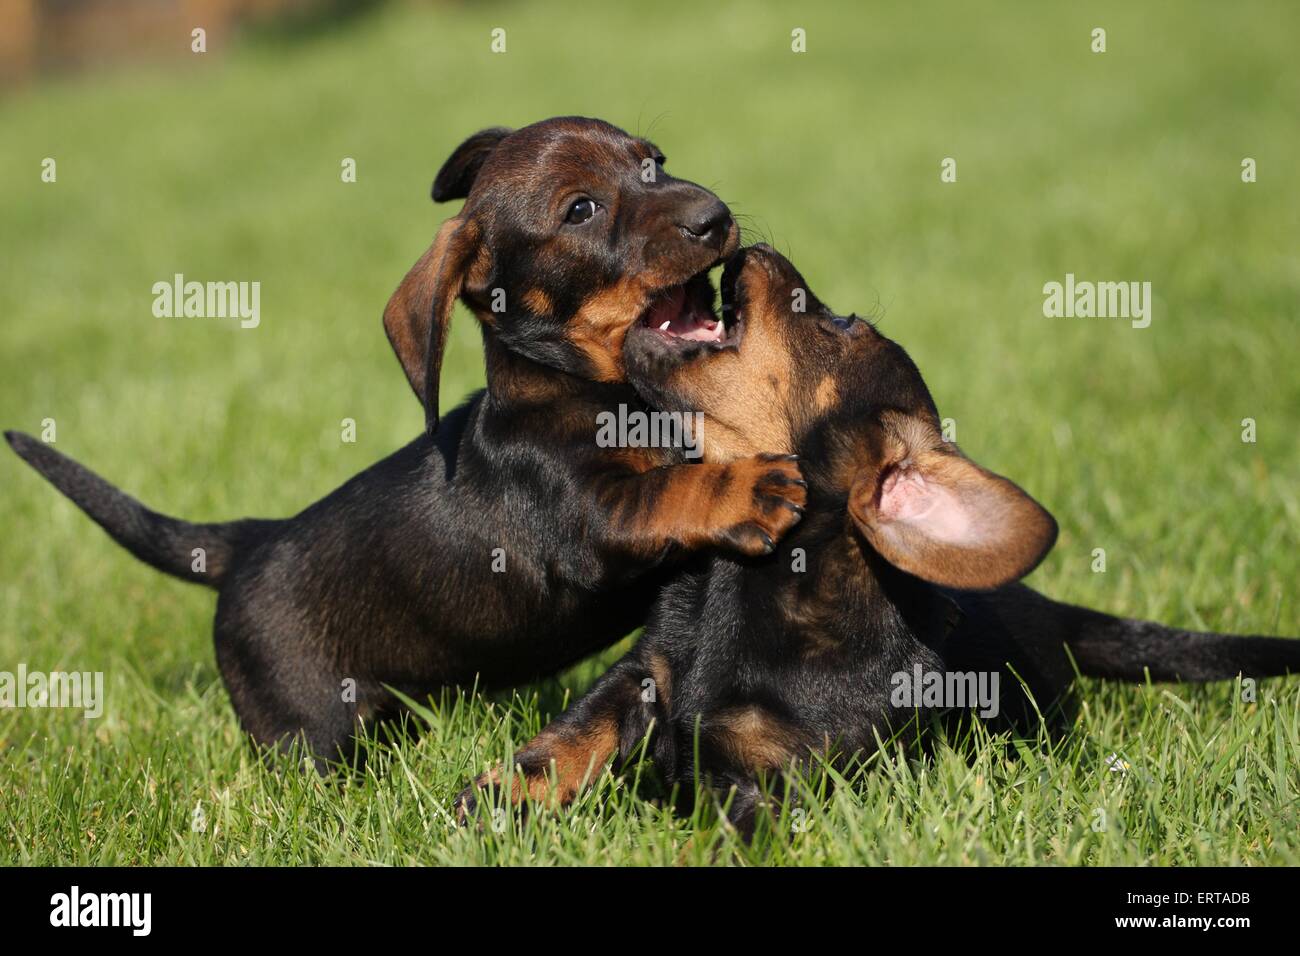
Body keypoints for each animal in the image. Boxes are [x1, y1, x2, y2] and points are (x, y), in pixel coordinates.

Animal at [460, 247, 1300, 837]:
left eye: (841, 325)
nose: (749, 245)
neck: (739, 586)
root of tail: (1048, 609)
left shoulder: (770, 782)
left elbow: (723, 830)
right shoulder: (642, 673)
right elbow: (574, 733)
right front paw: (499, 798)